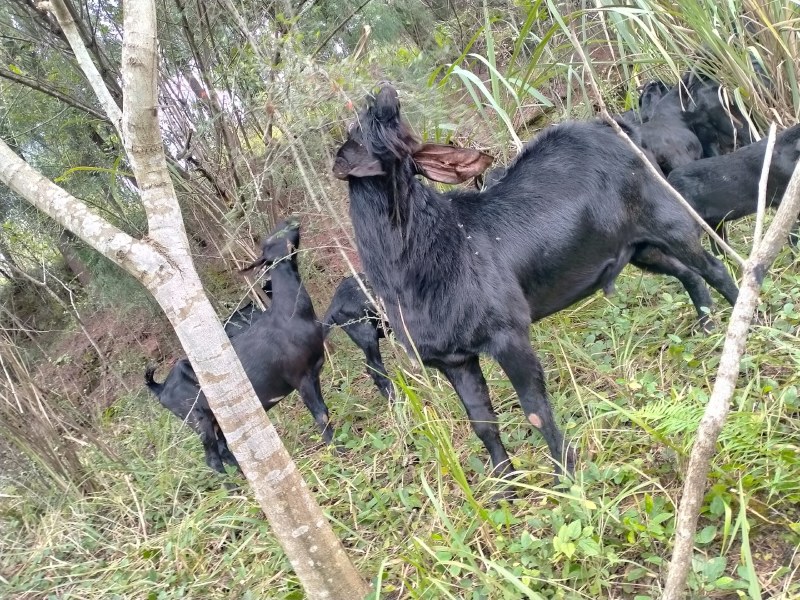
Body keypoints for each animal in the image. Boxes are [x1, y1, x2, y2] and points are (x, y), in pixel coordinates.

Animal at [144, 218, 332, 472]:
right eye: (269, 241)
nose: (288, 221)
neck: (288, 315)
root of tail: (161, 388)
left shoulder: (314, 373)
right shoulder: (301, 378)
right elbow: (321, 416)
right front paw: (339, 452)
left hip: (218, 420)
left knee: (224, 449)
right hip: (198, 418)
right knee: (212, 458)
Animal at [334, 84, 740, 486]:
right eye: (358, 128)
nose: (385, 95)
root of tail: (620, 128)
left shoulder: (508, 334)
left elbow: (535, 410)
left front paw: (566, 475)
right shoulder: (453, 359)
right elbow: (482, 422)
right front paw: (504, 484)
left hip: (669, 220)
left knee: (714, 268)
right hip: (639, 249)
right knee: (688, 273)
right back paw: (706, 325)